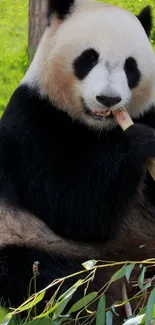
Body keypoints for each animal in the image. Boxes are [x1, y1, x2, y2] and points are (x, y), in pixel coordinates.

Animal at [0, 0, 155, 322]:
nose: (108, 99)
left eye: (130, 66)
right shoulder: (32, 121)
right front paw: (139, 141)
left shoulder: (150, 111)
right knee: (50, 281)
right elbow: (74, 209)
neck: (97, 128)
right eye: (89, 58)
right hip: (27, 238)